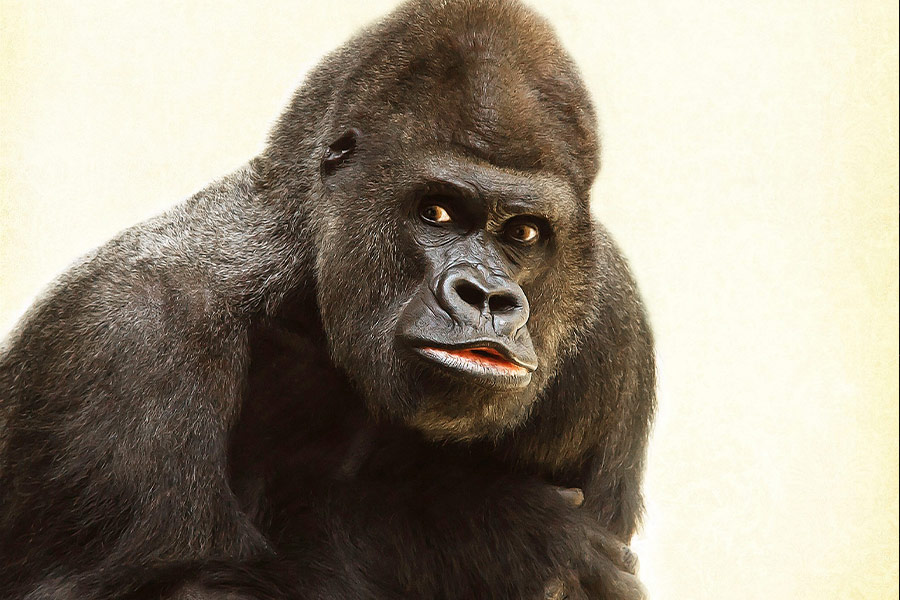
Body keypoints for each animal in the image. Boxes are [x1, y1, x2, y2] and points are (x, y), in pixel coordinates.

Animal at [0, 1, 655, 598]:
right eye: (437, 212)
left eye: (523, 233)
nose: (488, 297)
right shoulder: (129, 334)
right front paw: (488, 536)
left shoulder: (613, 328)